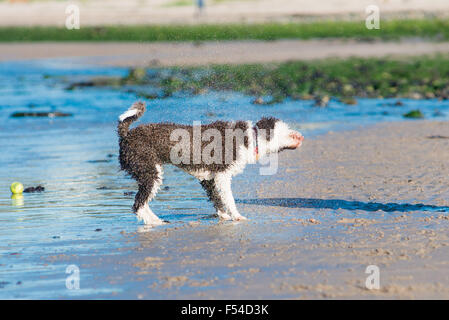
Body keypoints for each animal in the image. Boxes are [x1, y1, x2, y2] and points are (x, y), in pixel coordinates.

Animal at [117, 102, 302, 225]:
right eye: (286, 130)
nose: (300, 136)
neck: (251, 138)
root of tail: (125, 135)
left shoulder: (208, 178)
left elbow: (217, 199)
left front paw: (224, 216)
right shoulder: (222, 176)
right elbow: (229, 199)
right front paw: (237, 216)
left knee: (141, 203)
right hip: (150, 172)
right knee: (139, 205)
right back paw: (154, 222)